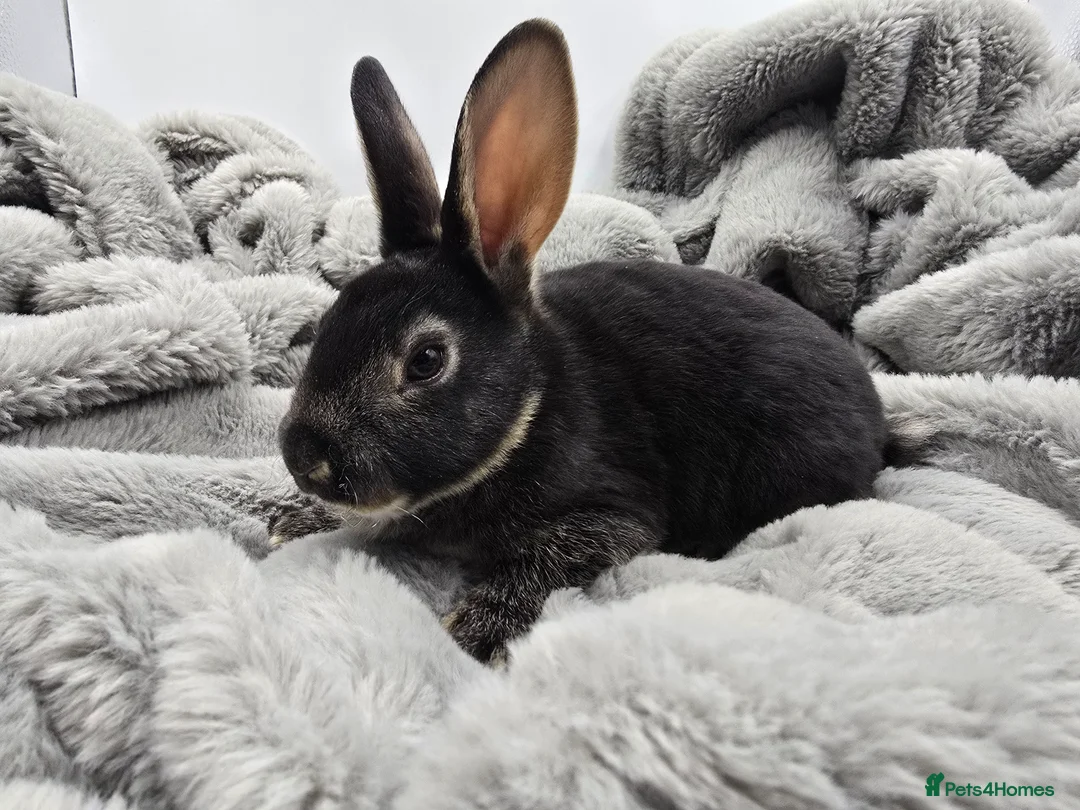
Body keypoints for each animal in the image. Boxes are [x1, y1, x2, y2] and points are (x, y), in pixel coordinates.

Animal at [277, 18, 888, 664]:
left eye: (426, 361)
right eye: (328, 321)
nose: (301, 459)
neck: (529, 410)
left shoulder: (612, 512)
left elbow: (549, 561)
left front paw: (474, 631)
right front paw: (294, 523)